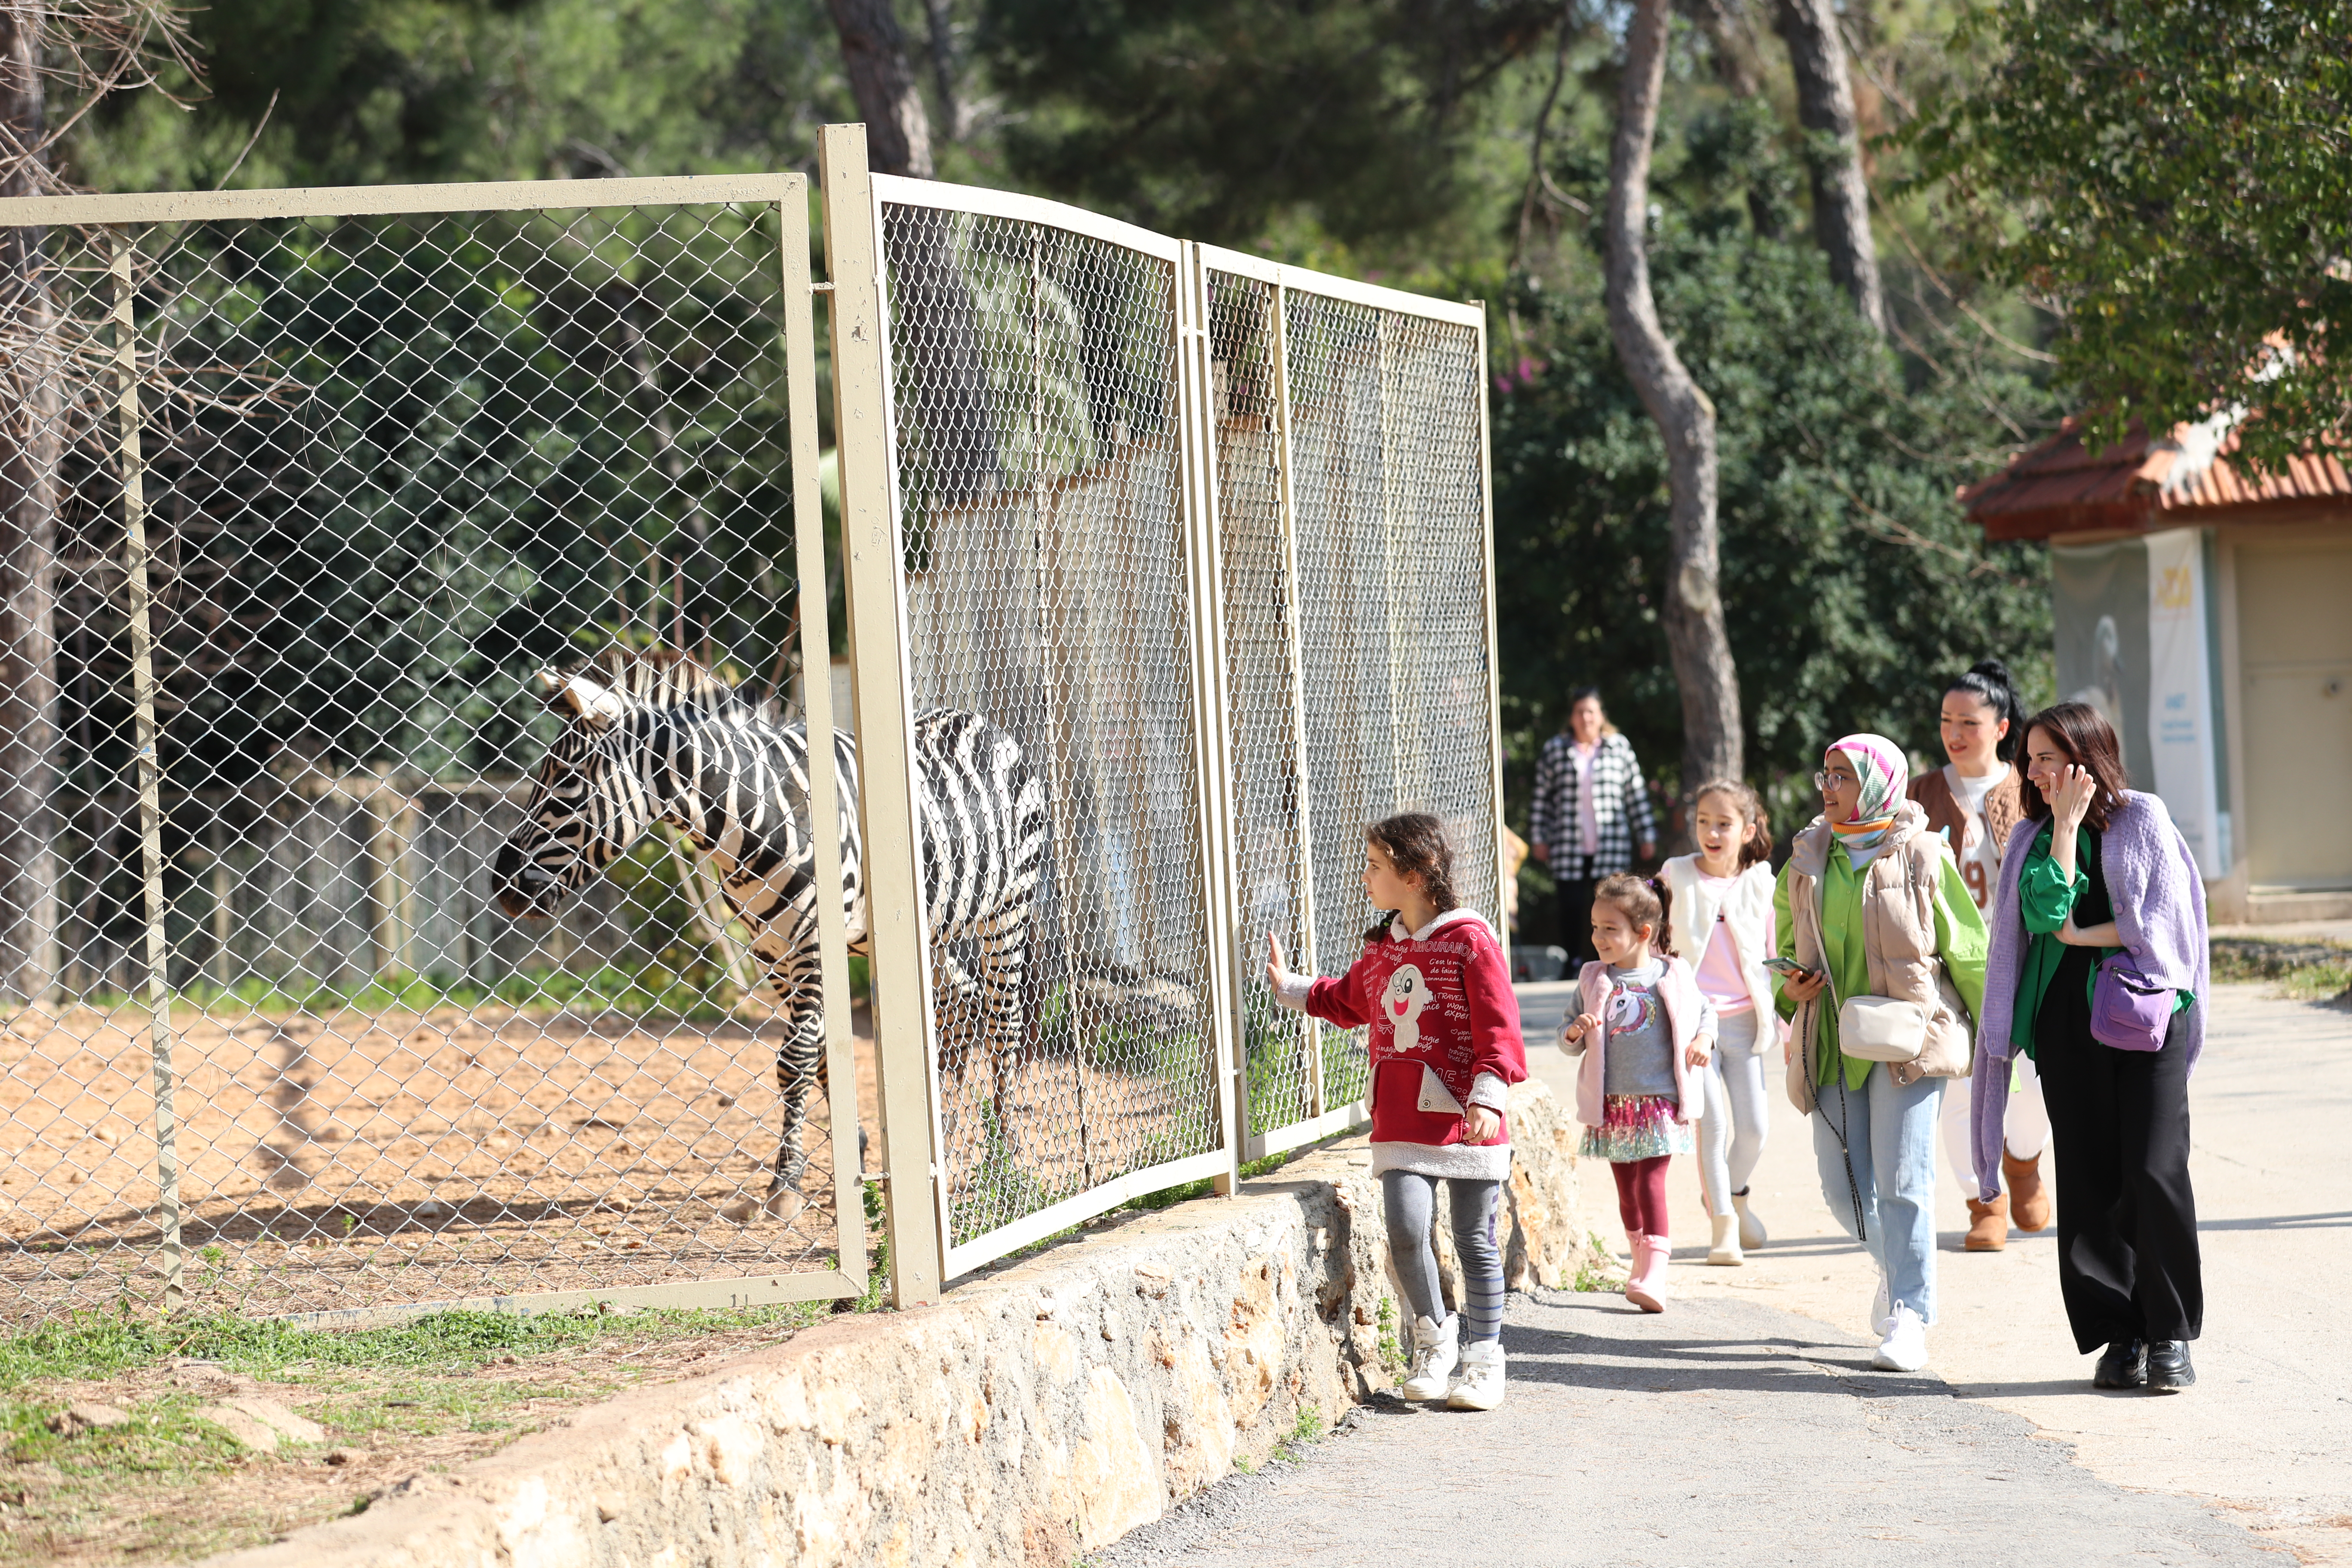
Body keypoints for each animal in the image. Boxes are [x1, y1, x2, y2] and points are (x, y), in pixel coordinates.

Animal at [491, 649, 1044, 1222]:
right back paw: (947, 1149)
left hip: (1008, 911)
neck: (750, 822)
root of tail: (973, 718)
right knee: (959, 1010)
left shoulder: (813, 944)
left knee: (1002, 1025)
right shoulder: (770, 951)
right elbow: (819, 1054)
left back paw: (1007, 1162)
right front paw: (849, 1164)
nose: (502, 887)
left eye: (566, 779)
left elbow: (795, 1058)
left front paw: (784, 1188)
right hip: (923, 931)